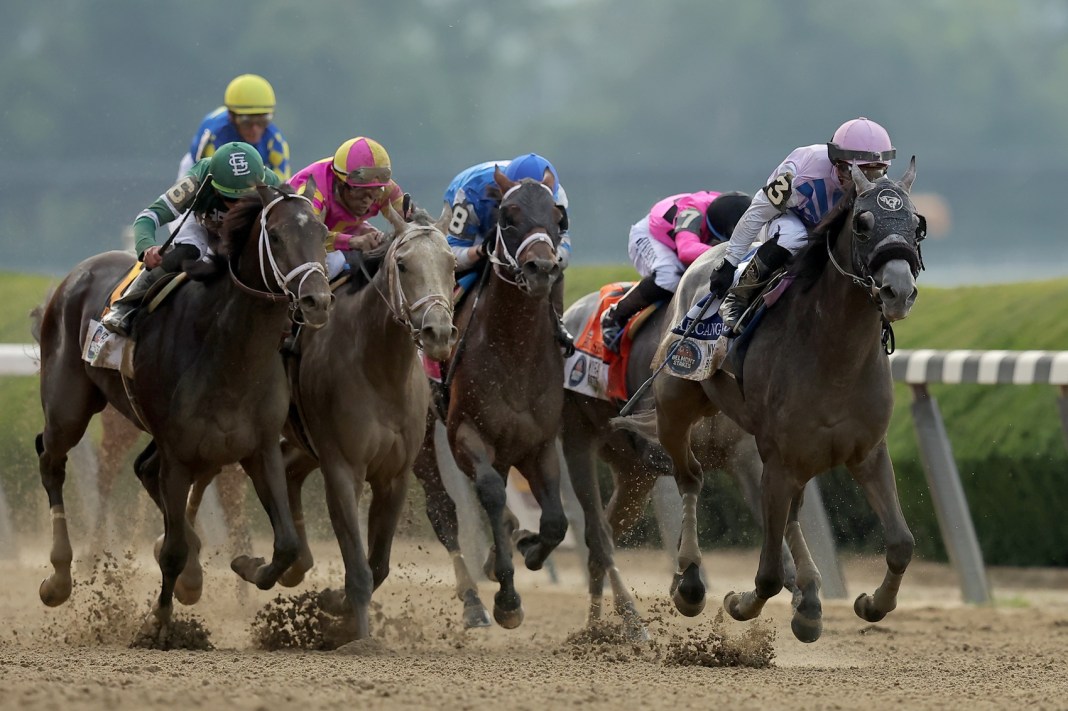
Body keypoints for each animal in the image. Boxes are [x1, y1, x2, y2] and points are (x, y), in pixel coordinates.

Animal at [35, 181, 333, 639]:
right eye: (277, 236)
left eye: (322, 232)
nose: (316, 300)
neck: (229, 351)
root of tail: (76, 274)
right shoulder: (177, 453)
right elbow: (172, 550)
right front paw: (158, 622)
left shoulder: (259, 449)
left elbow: (285, 545)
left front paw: (245, 564)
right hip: (68, 407)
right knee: (52, 461)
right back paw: (59, 577)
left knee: (143, 471)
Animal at [258, 205, 458, 642]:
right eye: (403, 264)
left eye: (452, 264)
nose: (437, 332)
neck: (379, 369)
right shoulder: (343, 468)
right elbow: (360, 568)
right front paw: (361, 638)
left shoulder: (394, 475)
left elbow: (378, 564)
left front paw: (334, 606)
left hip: (303, 441)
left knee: (287, 471)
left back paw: (290, 564)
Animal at [411, 168, 573, 630]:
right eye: (508, 216)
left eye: (559, 219)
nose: (541, 268)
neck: (514, 347)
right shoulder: (467, 434)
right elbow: (490, 494)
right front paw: (507, 599)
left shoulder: (540, 444)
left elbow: (555, 521)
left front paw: (531, 548)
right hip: (422, 438)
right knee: (444, 512)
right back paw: (473, 602)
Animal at [618, 160, 922, 643]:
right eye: (862, 223)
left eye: (916, 224)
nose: (898, 290)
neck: (834, 354)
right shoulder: (779, 457)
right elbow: (767, 575)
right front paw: (738, 603)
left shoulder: (866, 452)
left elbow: (900, 544)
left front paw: (871, 603)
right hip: (676, 403)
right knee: (690, 477)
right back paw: (690, 581)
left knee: (788, 514)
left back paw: (809, 598)